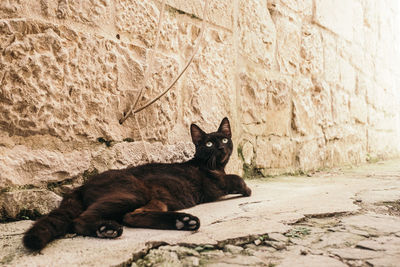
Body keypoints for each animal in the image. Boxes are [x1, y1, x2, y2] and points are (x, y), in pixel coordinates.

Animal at [22, 117, 250, 251]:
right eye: (209, 143)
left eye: (224, 140)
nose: (221, 148)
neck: (213, 166)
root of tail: (82, 185)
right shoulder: (215, 185)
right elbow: (235, 178)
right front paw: (246, 189)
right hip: (133, 193)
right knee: (80, 219)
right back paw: (106, 229)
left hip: (155, 200)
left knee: (132, 216)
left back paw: (183, 221)